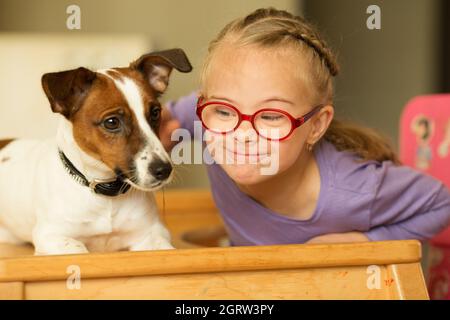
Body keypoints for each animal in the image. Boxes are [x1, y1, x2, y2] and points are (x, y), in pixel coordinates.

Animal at [0, 48, 192, 256]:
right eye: (112, 122)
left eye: (156, 112)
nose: (164, 170)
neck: (105, 193)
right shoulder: (51, 236)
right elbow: (78, 249)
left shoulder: (152, 234)